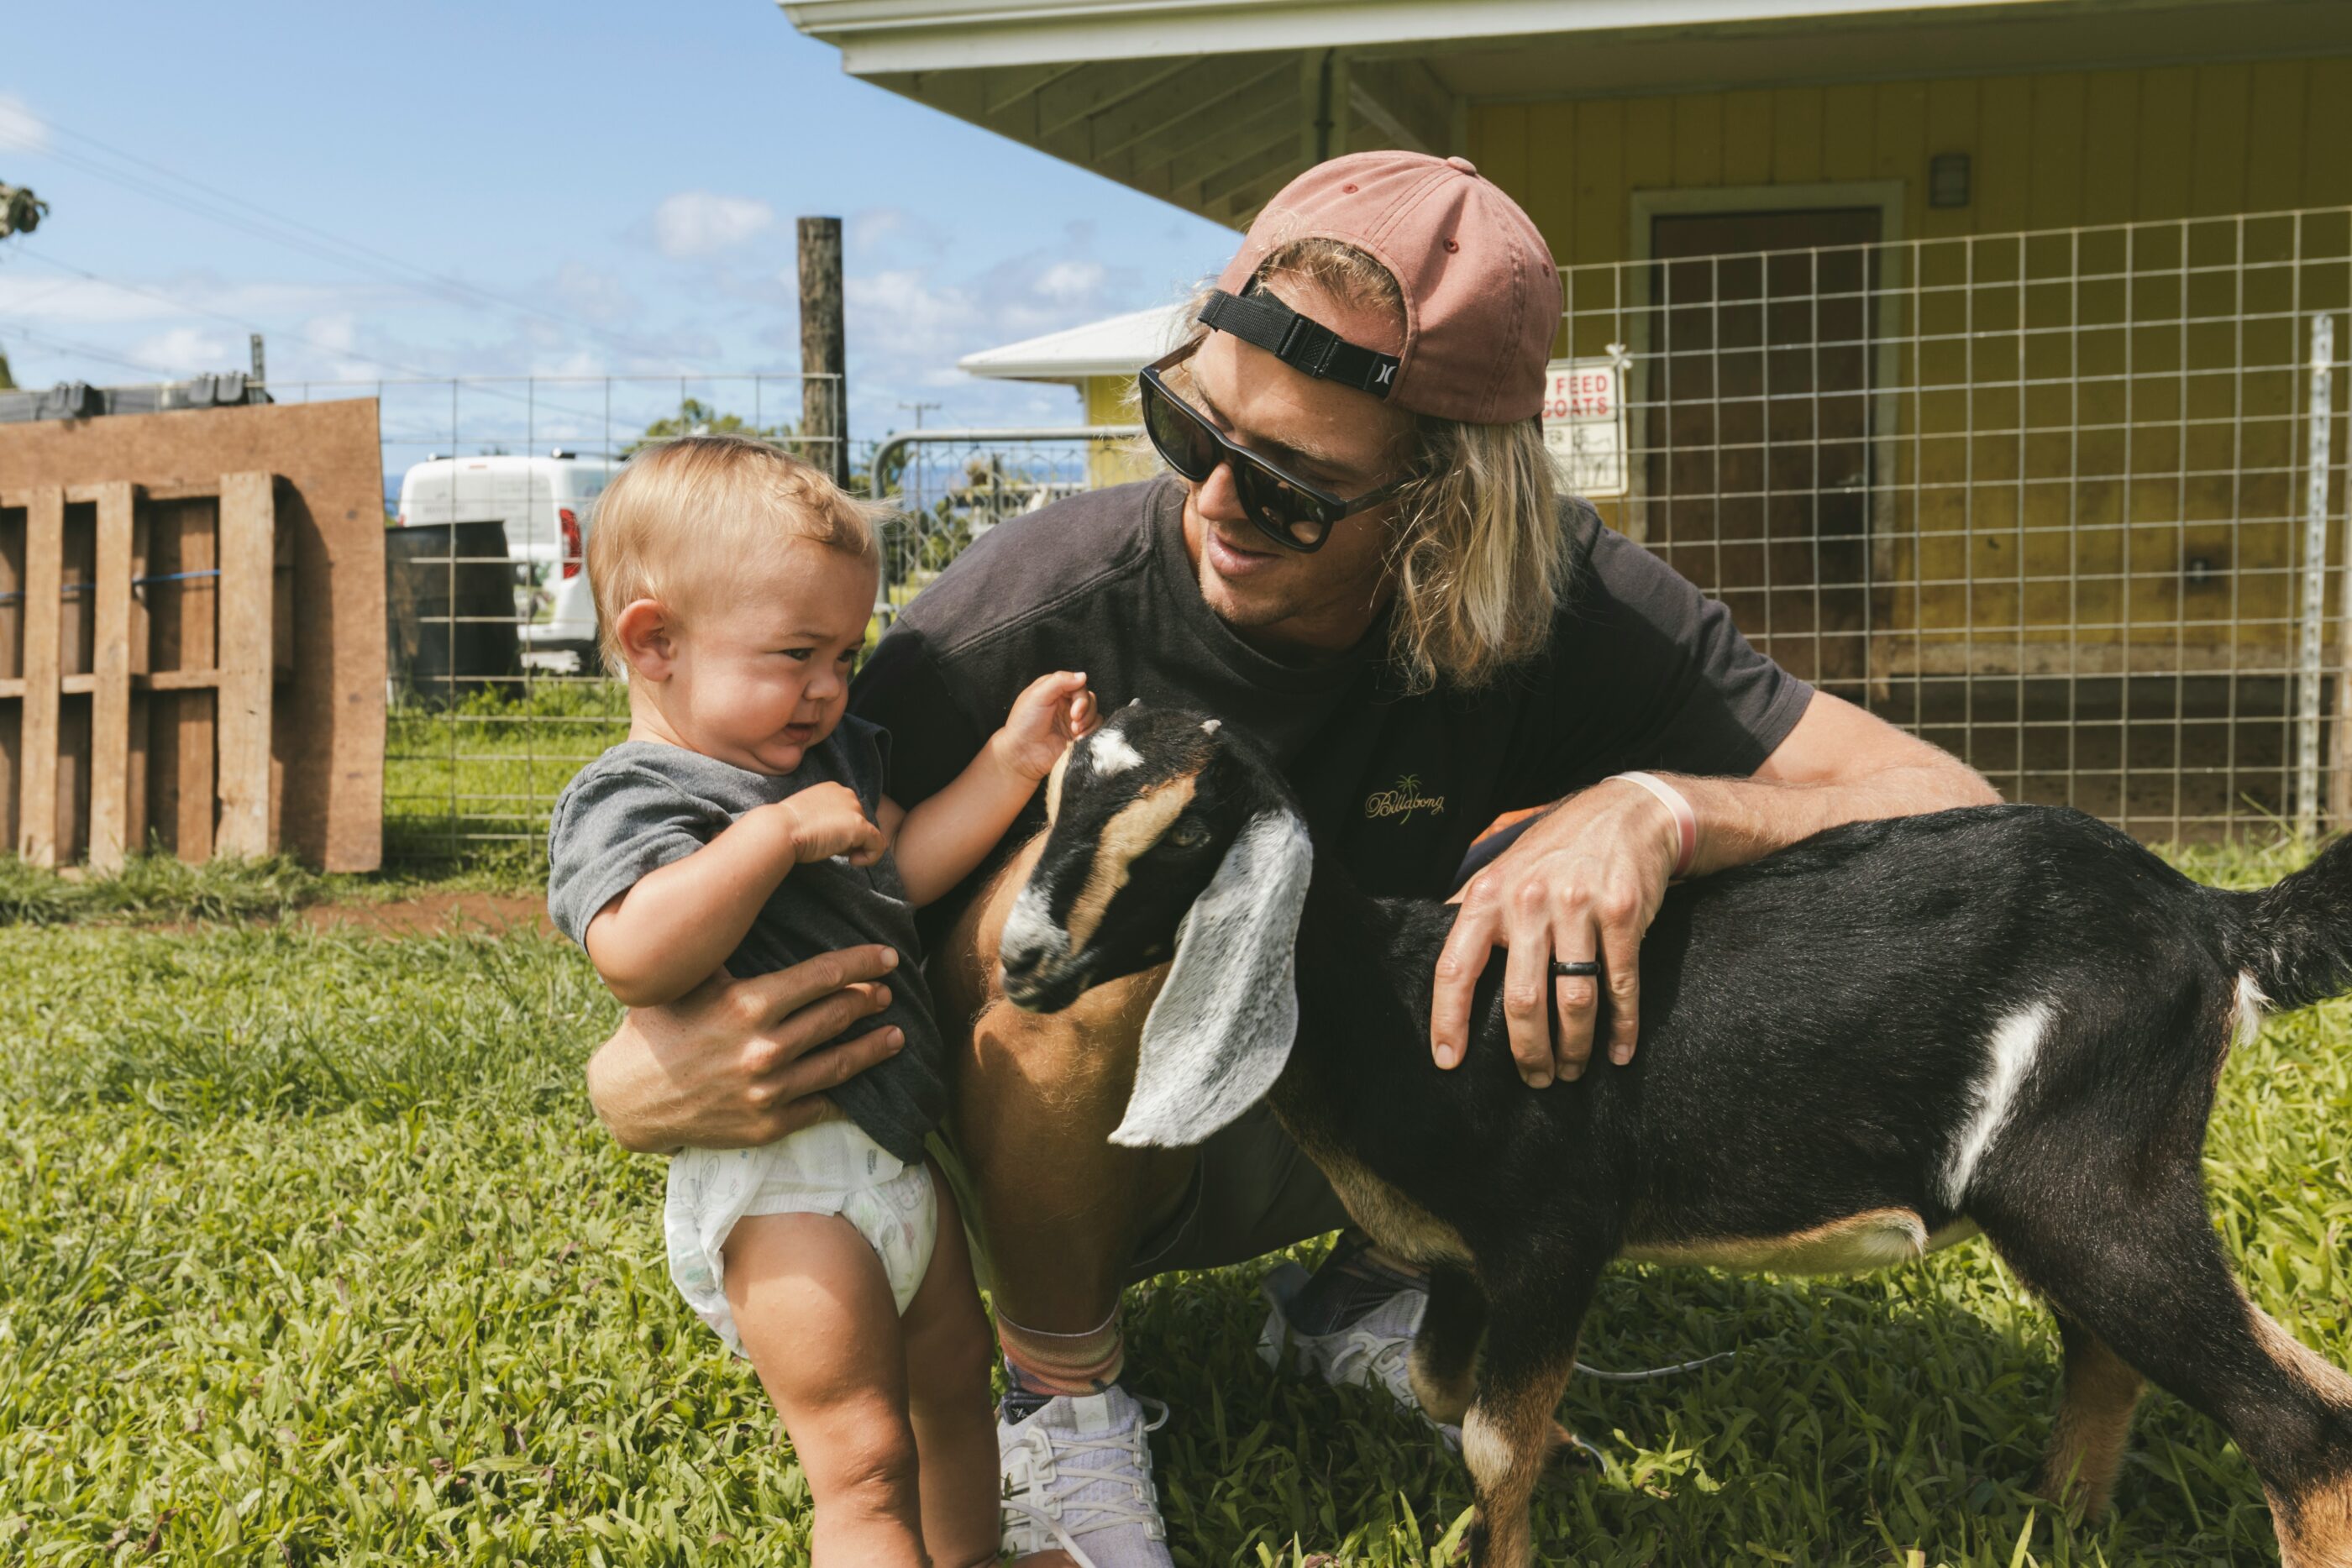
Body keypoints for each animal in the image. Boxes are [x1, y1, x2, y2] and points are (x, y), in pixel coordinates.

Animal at [992, 700, 2352, 1568]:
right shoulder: (1466, 1263)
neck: (1402, 992)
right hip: (2091, 1190)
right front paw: (1538, 1476)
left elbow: (1491, 1436)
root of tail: (2211, 920)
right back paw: (2053, 1525)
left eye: (1185, 829)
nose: (1020, 960)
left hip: (2091, 1180)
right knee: (2135, 1358)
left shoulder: (1556, 1231)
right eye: (1050, 796)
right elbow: (1449, 1389)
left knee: (2297, 1421)